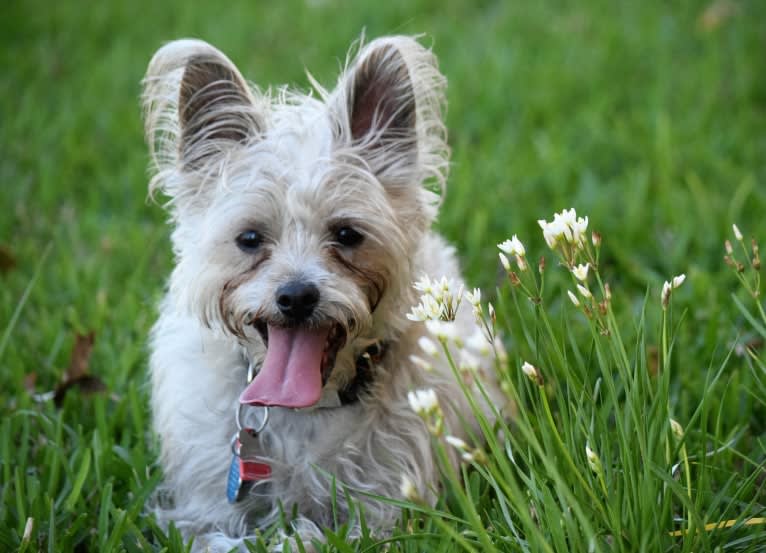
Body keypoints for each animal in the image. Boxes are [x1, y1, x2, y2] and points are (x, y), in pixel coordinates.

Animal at [142, 35, 504, 552]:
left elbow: (323, 536)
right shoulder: (203, 511)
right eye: (250, 238)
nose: (296, 296)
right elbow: (218, 538)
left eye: (347, 234)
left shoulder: (384, 515)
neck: (309, 408)